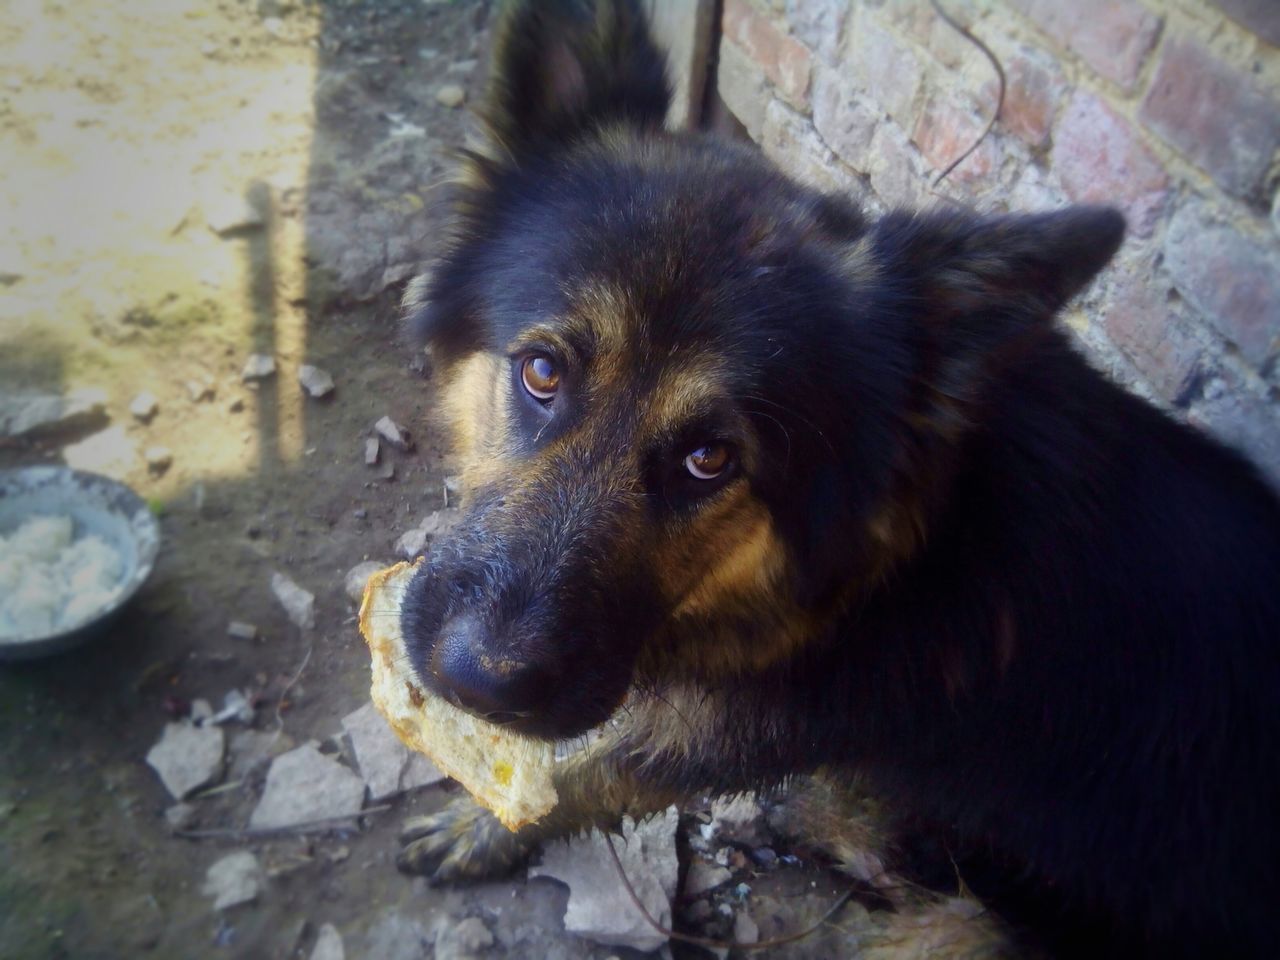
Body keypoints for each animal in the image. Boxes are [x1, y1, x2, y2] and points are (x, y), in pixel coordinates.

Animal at [391, 3, 1280, 957]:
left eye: (712, 459)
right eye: (543, 371)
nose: (479, 685)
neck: (888, 568)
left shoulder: (715, 733)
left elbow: (588, 774)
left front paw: (485, 824)